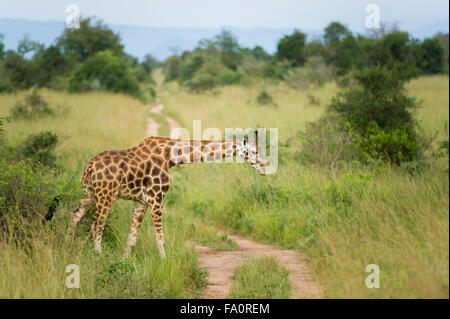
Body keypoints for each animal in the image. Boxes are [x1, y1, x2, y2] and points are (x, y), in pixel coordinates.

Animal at [65, 131, 266, 258]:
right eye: (254, 151)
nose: (263, 168)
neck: (172, 155)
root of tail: (90, 166)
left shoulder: (141, 201)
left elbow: (132, 237)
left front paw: (125, 261)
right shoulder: (156, 196)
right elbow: (159, 236)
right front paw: (164, 262)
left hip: (90, 193)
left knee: (75, 216)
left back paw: (66, 248)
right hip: (106, 194)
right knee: (96, 225)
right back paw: (98, 256)